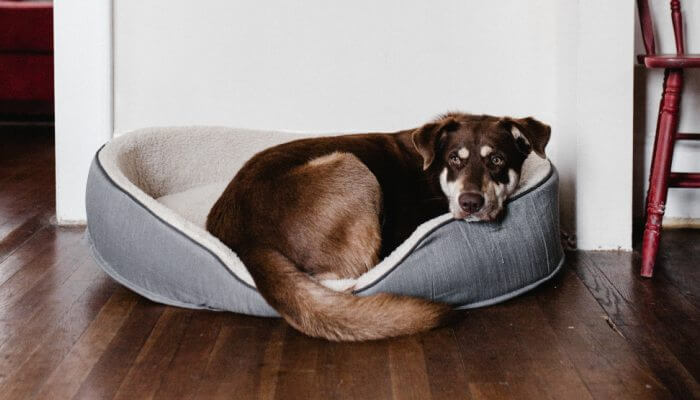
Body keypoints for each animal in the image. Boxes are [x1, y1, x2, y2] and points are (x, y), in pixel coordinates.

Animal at [205, 112, 548, 340]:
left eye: (497, 160)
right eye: (454, 159)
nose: (470, 202)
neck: (434, 173)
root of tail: (244, 238)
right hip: (352, 167)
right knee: (353, 274)